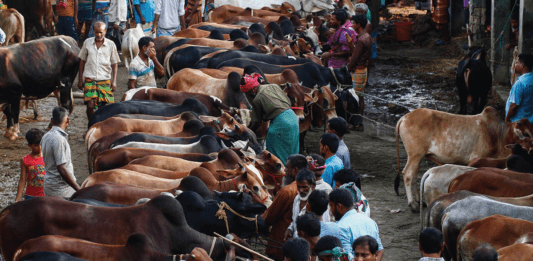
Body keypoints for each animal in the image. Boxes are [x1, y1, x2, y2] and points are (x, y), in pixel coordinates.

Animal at [392, 107, 532, 211]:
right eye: (526, 135)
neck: (499, 134)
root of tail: (404, 117)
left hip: (418, 156)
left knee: (414, 174)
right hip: (415, 154)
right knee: (408, 174)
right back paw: (412, 204)